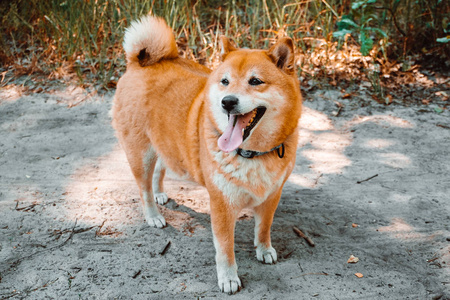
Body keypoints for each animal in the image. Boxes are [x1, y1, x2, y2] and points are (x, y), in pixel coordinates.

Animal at [112, 15, 302, 294]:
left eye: (255, 81)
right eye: (225, 81)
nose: (227, 102)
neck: (252, 154)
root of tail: (138, 63)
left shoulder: (271, 195)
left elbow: (264, 228)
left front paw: (264, 249)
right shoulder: (222, 205)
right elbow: (225, 249)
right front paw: (228, 277)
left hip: (167, 145)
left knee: (161, 169)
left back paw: (159, 193)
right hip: (141, 154)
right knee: (143, 188)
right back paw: (153, 215)